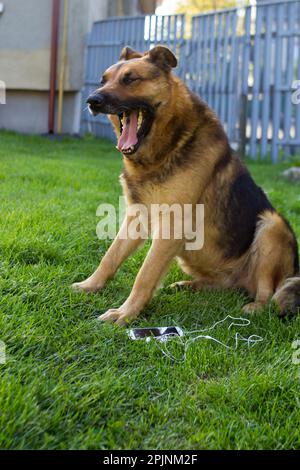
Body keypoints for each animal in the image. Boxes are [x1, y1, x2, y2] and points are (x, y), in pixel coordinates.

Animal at [72, 46, 300, 324]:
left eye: (130, 79)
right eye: (103, 81)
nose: (91, 100)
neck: (164, 149)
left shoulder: (171, 226)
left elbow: (145, 274)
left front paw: (126, 313)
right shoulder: (137, 217)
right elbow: (110, 256)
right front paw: (91, 285)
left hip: (272, 225)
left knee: (269, 292)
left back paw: (255, 306)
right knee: (224, 285)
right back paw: (190, 286)